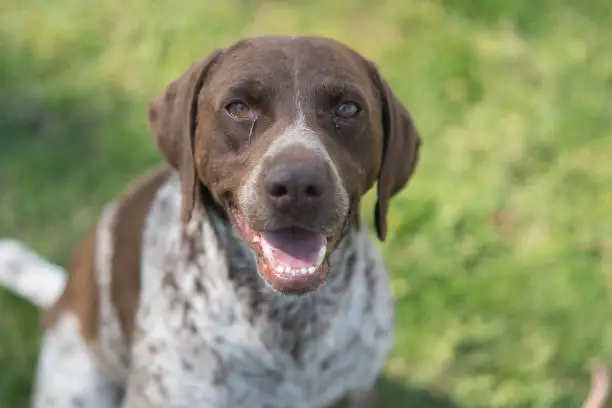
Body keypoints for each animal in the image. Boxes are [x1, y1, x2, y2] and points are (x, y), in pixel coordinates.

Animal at [0, 35, 420, 408]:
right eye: (239, 108)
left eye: (348, 109)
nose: (298, 185)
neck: (288, 327)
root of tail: (63, 295)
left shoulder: (356, 391)